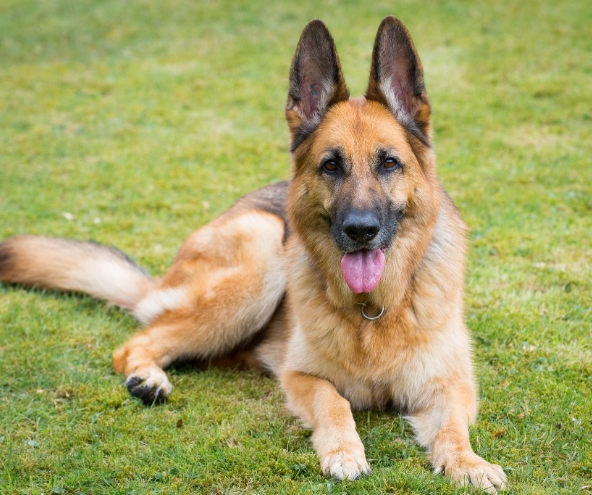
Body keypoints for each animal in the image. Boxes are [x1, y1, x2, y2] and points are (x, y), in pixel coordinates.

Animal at [2, 17, 506, 494]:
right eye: (331, 165)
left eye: (389, 163)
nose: (360, 230)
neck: (372, 311)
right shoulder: (301, 376)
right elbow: (335, 402)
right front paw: (344, 452)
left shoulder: (452, 386)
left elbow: (453, 430)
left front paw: (468, 464)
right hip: (263, 253)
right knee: (135, 343)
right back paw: (148, 377)